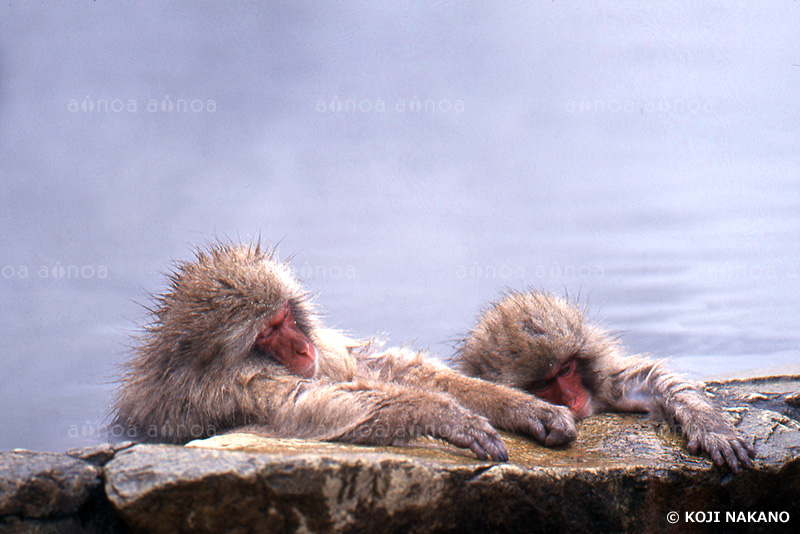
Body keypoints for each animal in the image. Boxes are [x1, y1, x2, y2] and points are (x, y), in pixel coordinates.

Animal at [456, 294, 756, 474]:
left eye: (566, 369)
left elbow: (650, 382)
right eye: (542, 384)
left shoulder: (605, 386)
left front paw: (711, 428)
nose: (574, 400)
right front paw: (530, 413)